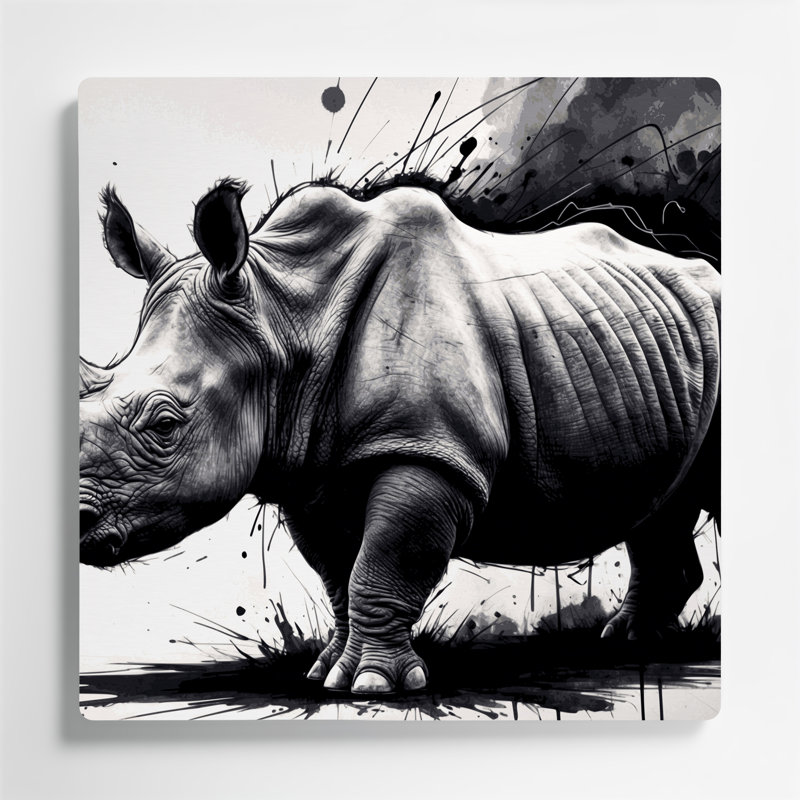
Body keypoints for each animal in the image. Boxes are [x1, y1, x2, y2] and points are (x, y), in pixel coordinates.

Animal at [80, 179, 721, 694]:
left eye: (165, 424)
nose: (79, 524)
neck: (284, 317)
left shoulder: (432, 451)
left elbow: (385, 560)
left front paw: (372, 685)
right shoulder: (314, 473)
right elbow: (339, 573)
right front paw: (326, 672)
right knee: (659, 507)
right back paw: (632, 640)